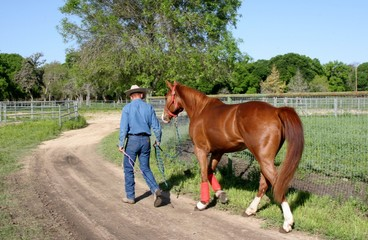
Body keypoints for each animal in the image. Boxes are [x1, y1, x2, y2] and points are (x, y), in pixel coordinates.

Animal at [162, 81, 304, 232]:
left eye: (166, 97)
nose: (164, 117)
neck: (200, 110)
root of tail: (276, 111)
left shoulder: (200, 150)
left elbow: (204, 174)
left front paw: (203, 203)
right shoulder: (218, 151)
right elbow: (210, 171)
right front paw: (221, 194)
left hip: (264, 158)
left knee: (277, 183)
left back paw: (287, 222)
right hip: (265, 159)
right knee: (264, 183)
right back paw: (250, 210)